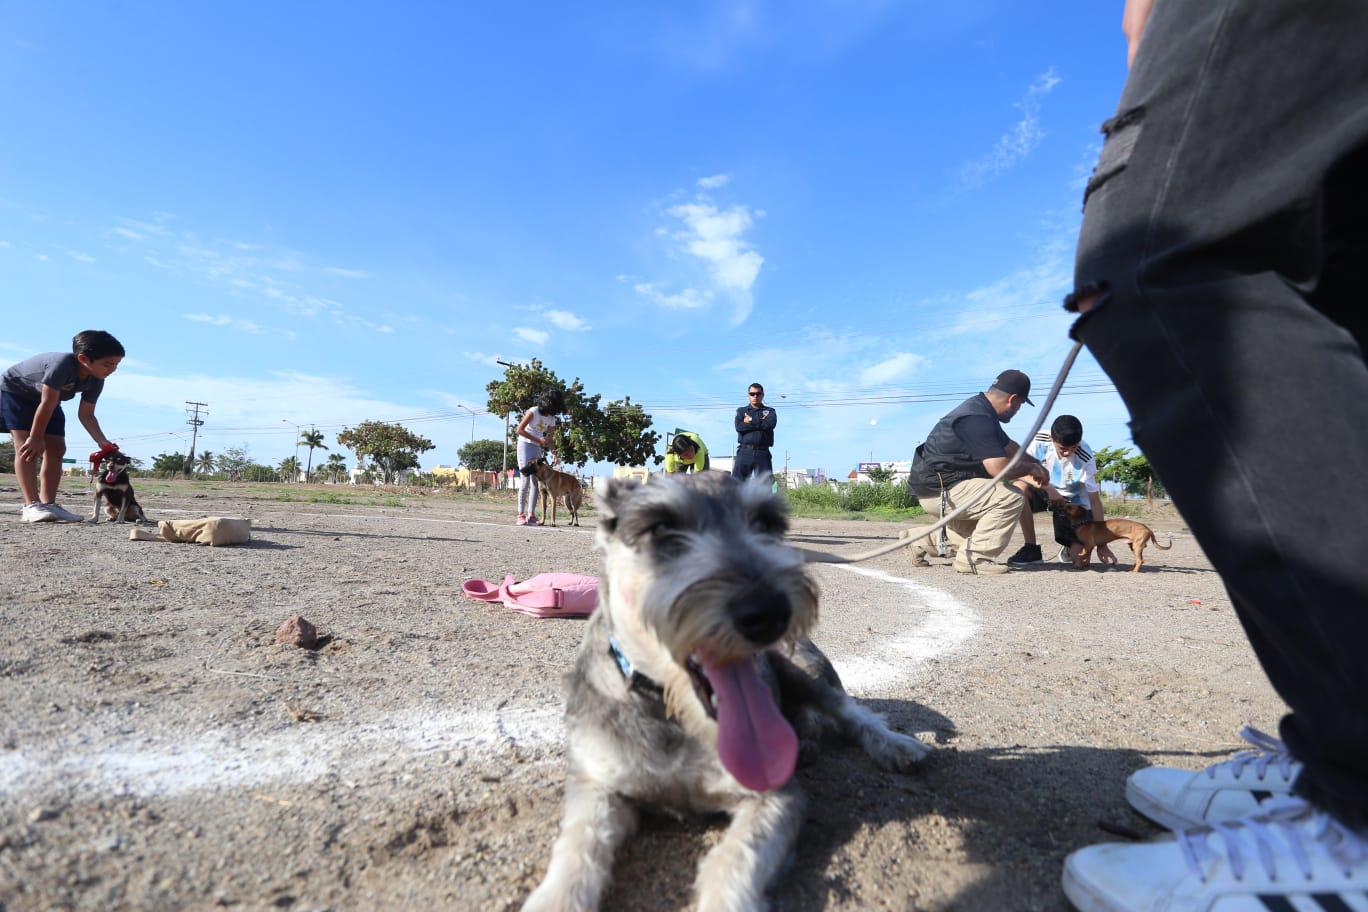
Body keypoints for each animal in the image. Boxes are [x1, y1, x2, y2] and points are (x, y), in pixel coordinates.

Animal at [522, 470, 930, 912]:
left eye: (767, 523)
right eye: (661, 527)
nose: (769, 613)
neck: (673, 715)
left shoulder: (774, 797)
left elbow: (734, 858)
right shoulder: (599, 784)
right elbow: (579, 843)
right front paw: (554, 898)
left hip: (803, 675)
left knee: (852, 713)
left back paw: (896, 746)